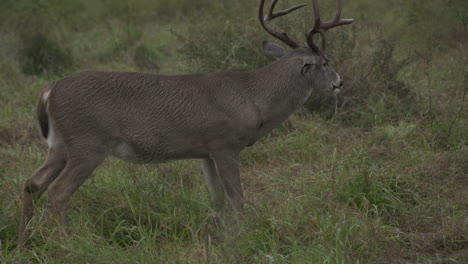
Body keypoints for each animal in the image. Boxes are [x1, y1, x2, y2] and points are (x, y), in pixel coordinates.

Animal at [20, 0, 352, 243]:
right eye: (325, 62)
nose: (340, 83)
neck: (252, 98)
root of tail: (49, 90)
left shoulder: (205, 151)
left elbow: (218, 200)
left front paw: (222, 237)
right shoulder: (226, 144)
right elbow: (237, 197)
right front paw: (243, 237)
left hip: (60, 145)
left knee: (32, 183)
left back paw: (24, 241)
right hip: (88, 143)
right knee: (58, 191)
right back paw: (68, 242)